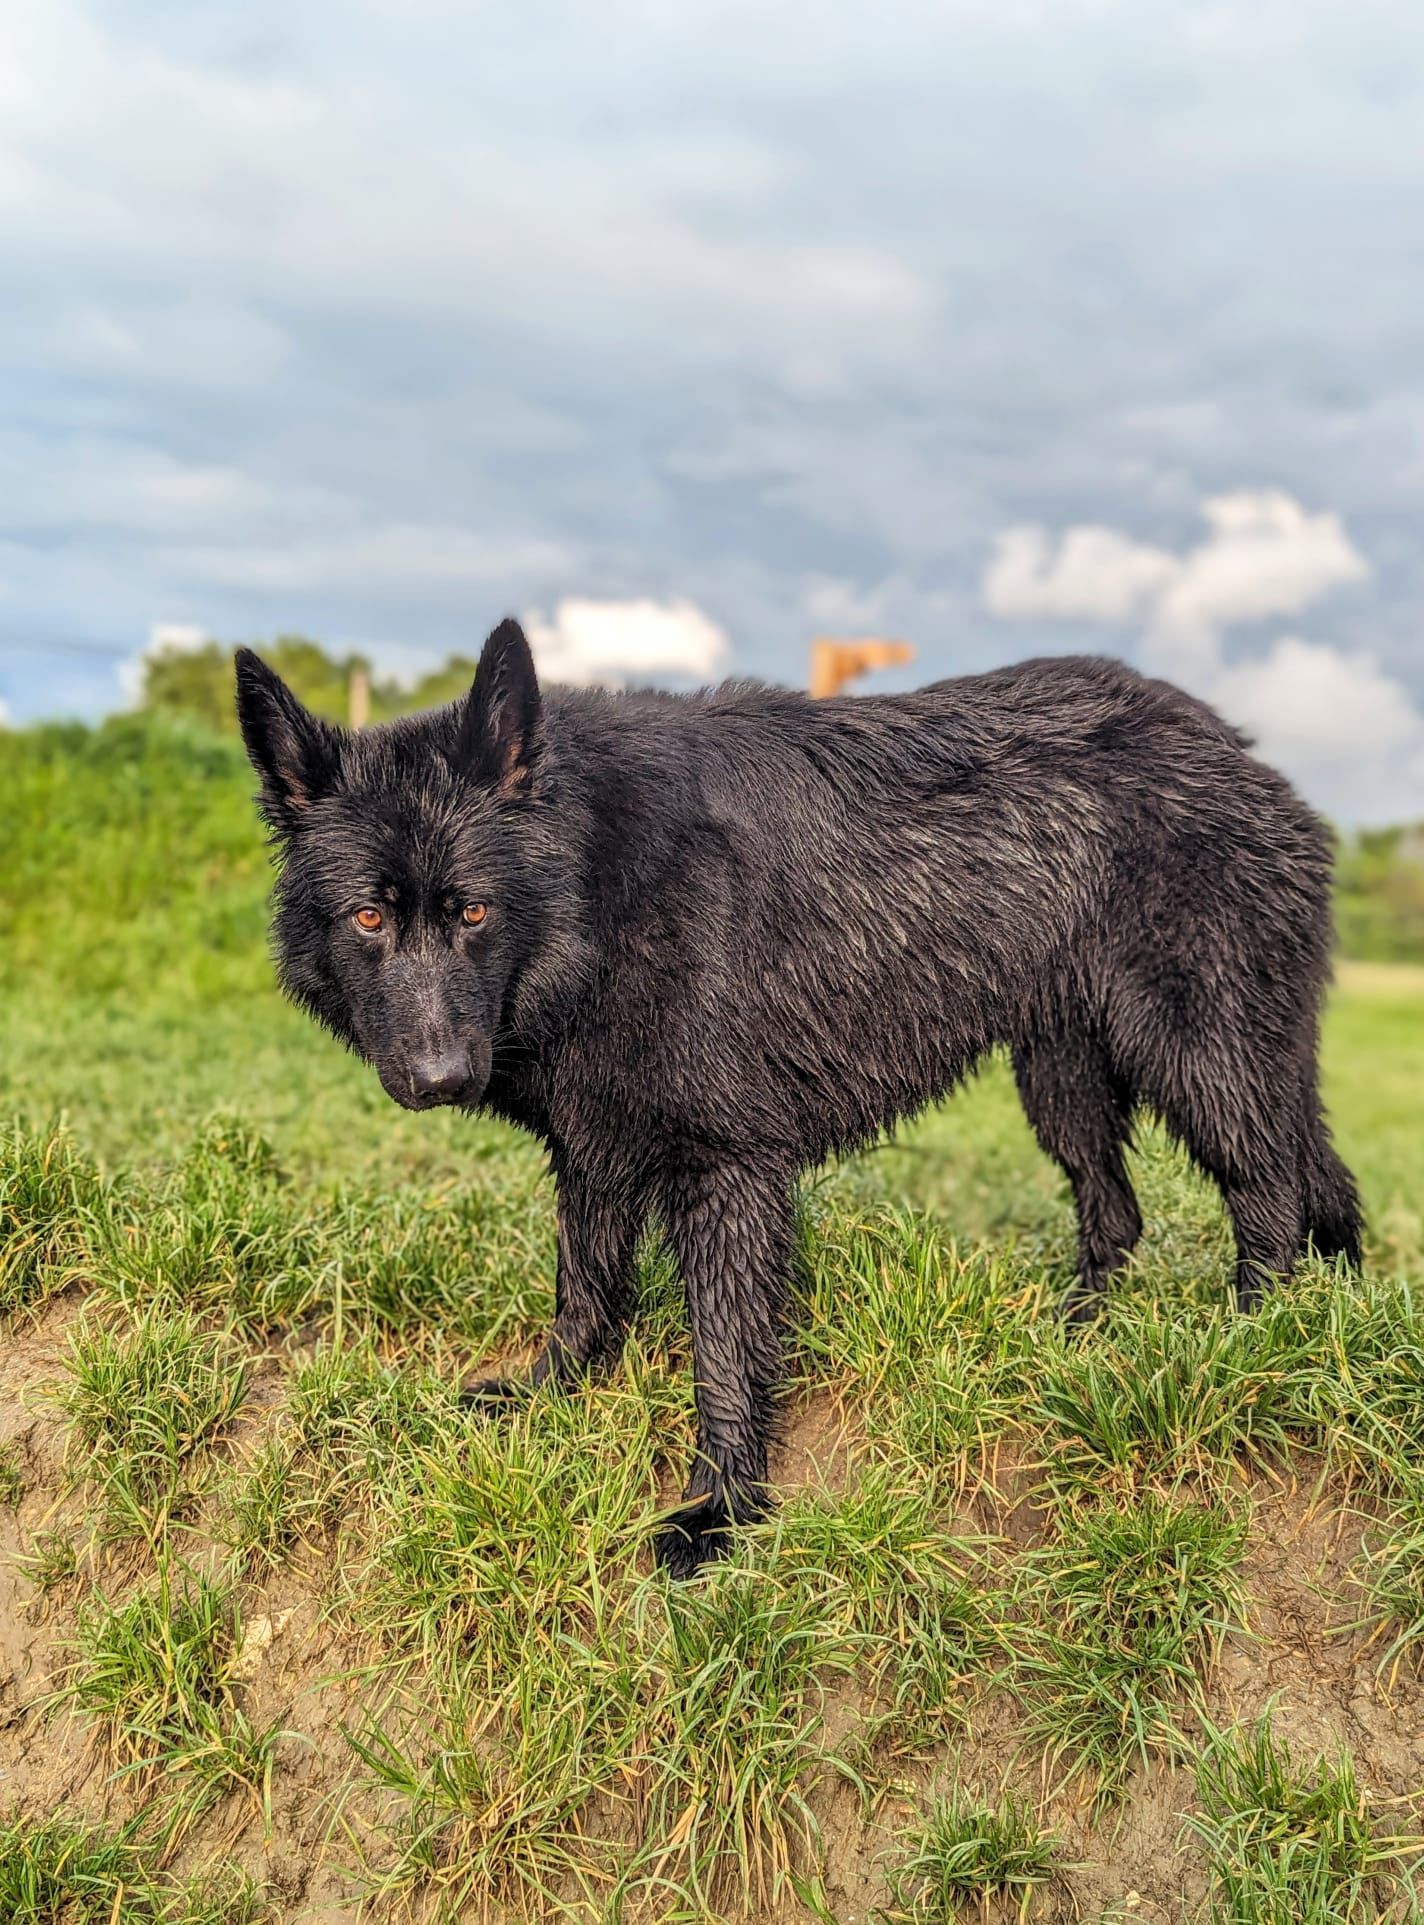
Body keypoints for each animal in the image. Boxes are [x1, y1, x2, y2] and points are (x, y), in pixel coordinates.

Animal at [236, 619, 1362, 1574]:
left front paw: (719, 1512)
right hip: (1065, 1077)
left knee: (1268, 1195)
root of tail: (1242, 753)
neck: (598, 886)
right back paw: (1087, 1332)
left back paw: (1245, 1342)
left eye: (471, 910)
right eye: (370, 918)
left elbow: (725, 1352)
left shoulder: (730, 1171)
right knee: (1130, 1207)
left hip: (1198, 1056)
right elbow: (585, 1287)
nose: (437, 1077)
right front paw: (552, 1394)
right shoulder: (594, 1147)